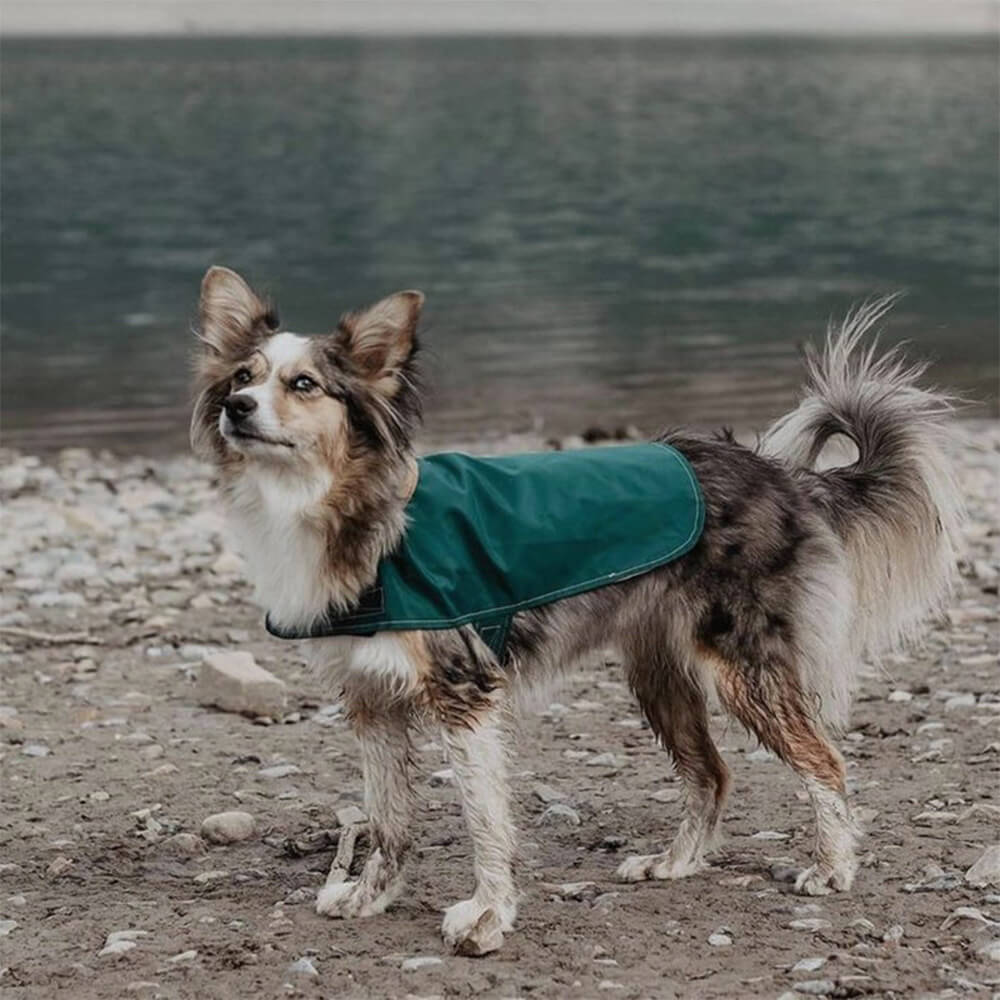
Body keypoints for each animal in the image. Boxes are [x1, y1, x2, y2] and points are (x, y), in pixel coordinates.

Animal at [191, 266, 964, 952]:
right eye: (242, 378)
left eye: (303, 384)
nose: (238, 409)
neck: (355, 510)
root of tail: (780, 474)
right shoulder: (372, 700)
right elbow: (388, 819)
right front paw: (370, 896)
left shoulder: (465, 693)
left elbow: (483, 819)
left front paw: (487, 916)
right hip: (658, 675)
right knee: (711, 772)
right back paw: (677, 863)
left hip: (743, 668)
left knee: (824, 761)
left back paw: (832, 869)